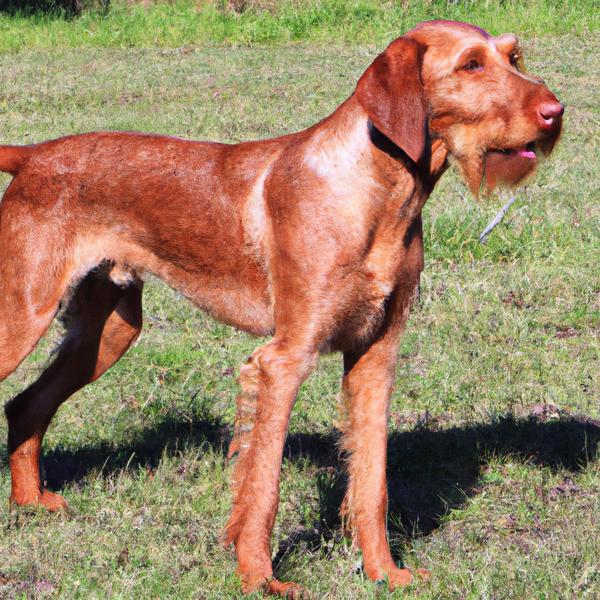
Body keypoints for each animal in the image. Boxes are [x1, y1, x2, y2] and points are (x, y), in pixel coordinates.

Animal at [0, 19, 564, 596]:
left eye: (512, 57)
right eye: (471, 64)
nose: (555, 111)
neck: (377, 191)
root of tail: (33, 155)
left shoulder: (375, 358)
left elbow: (372, 484)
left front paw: (386, 573)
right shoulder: (282, 361)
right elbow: (263, 485)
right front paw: (259, 578)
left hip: (110, 331)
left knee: (26, 404)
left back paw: (31, 504)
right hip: (23, 316)